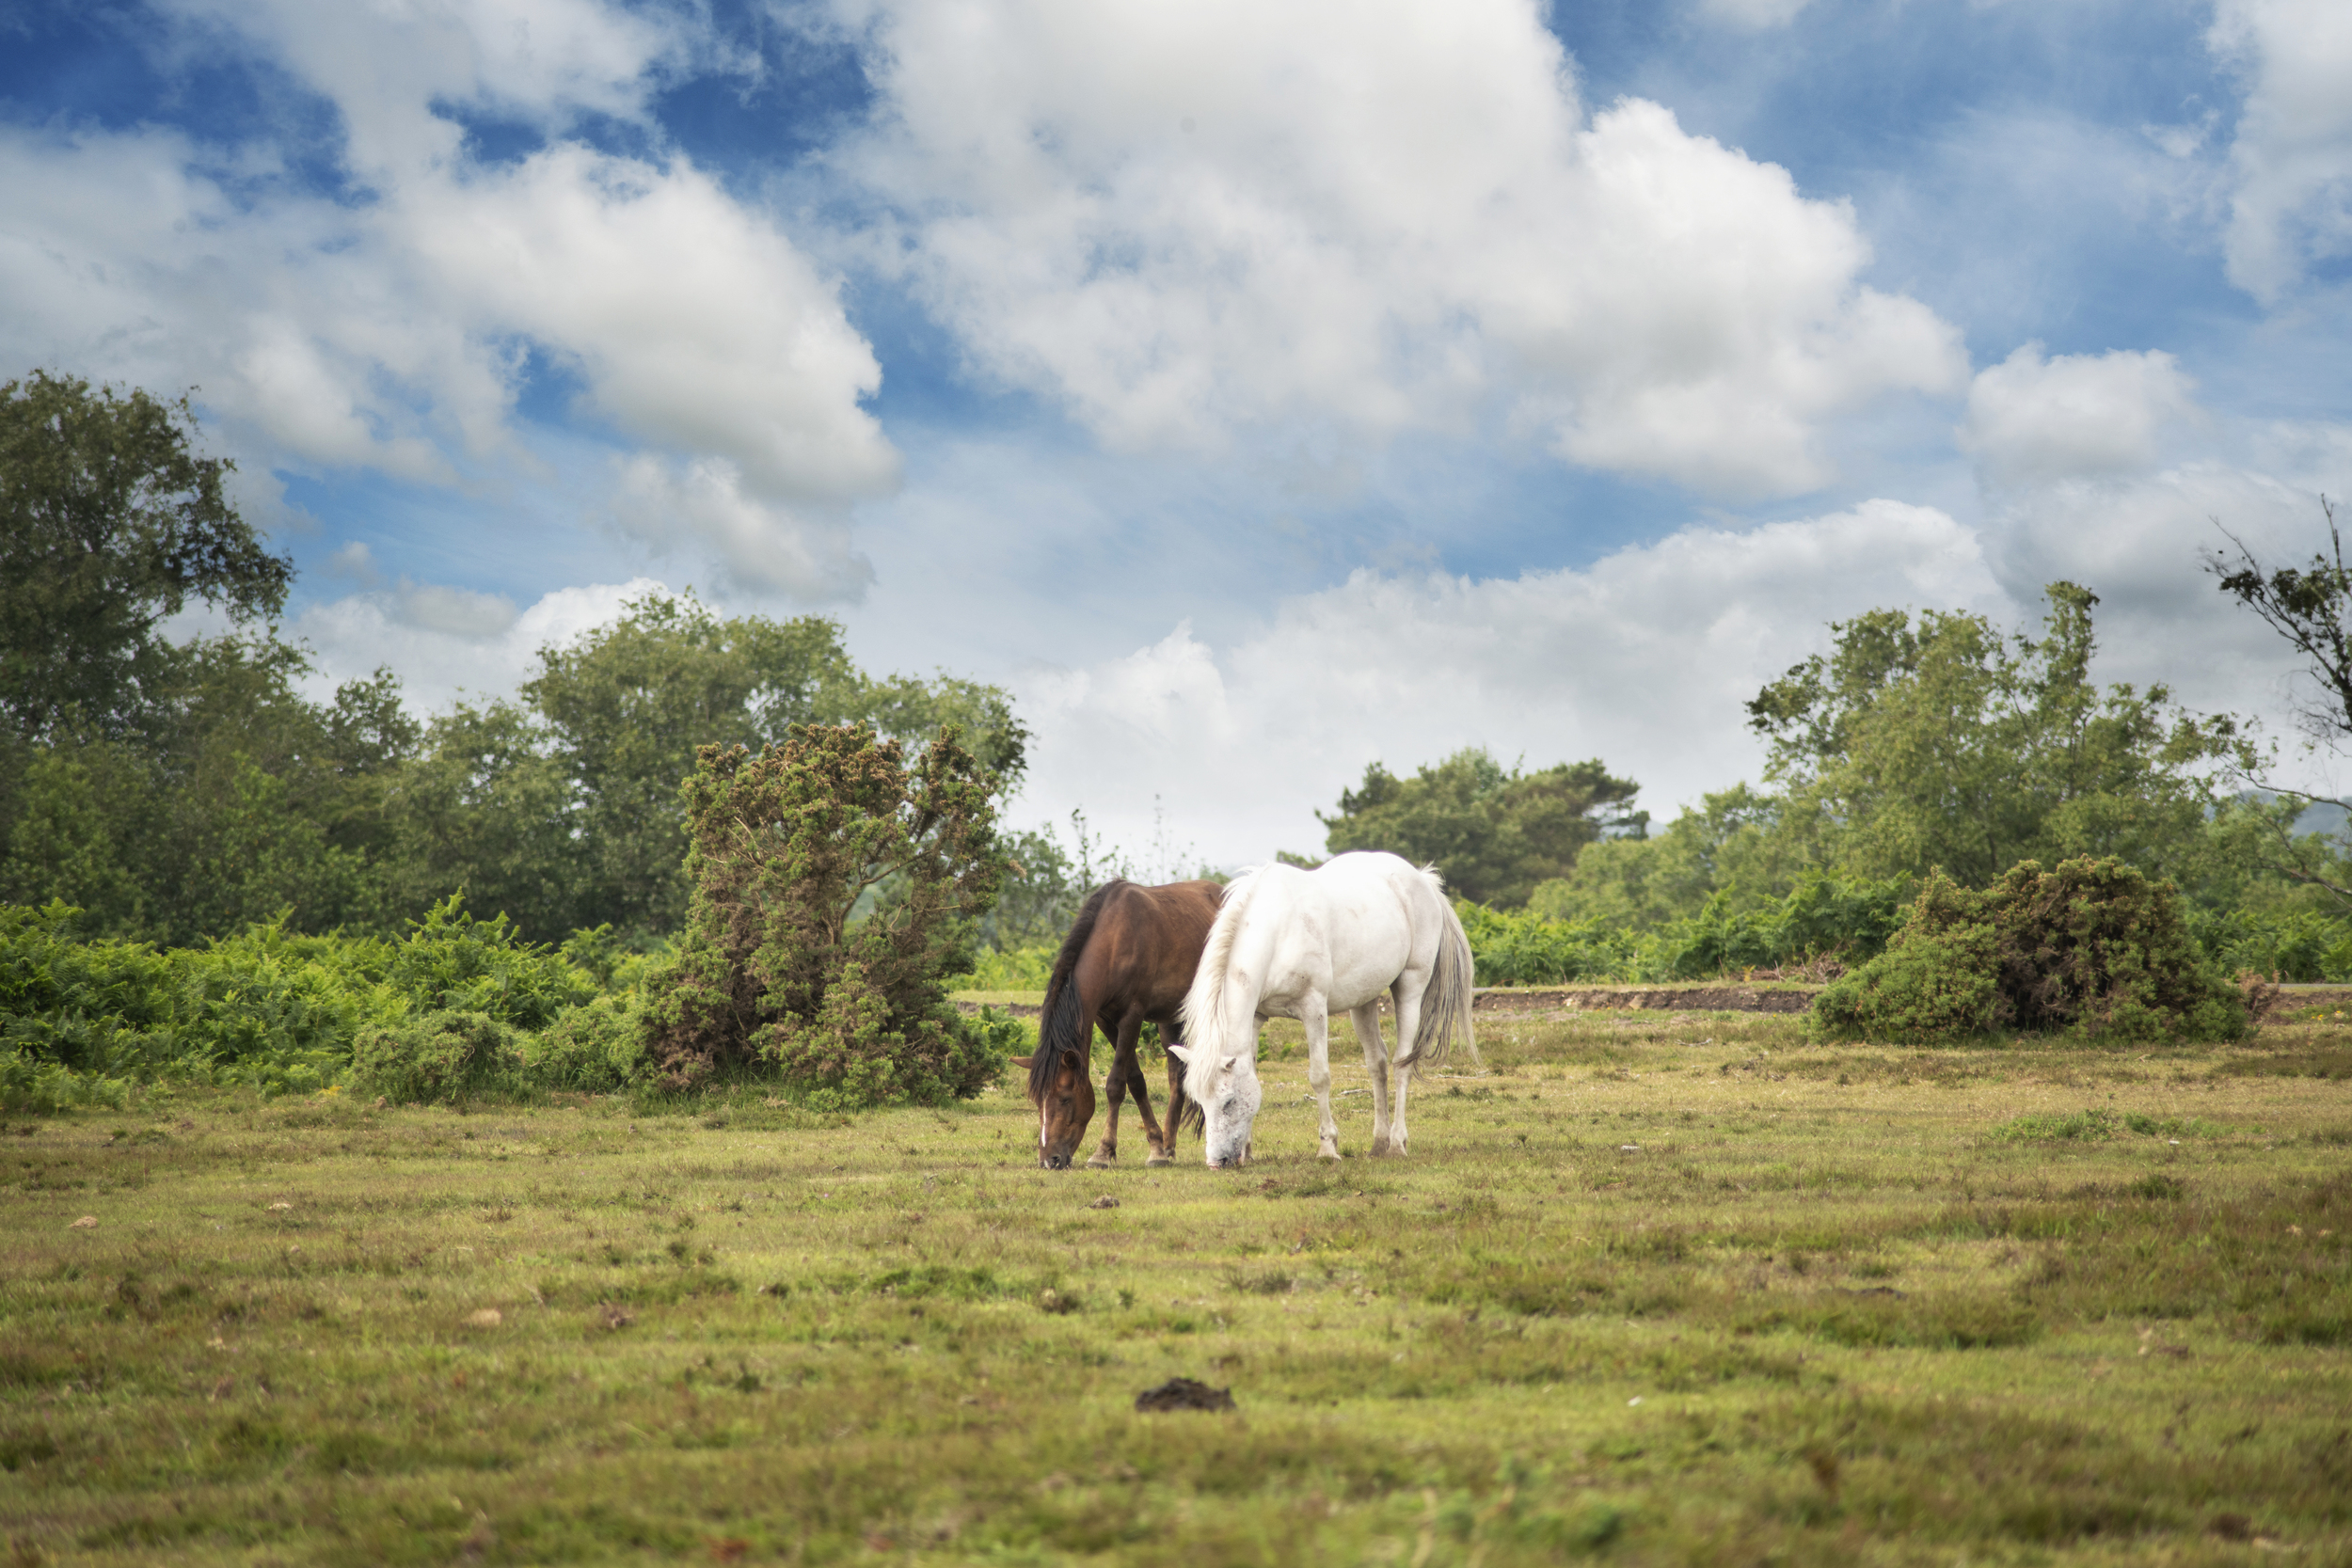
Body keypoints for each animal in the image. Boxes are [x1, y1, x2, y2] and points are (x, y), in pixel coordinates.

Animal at [1009, 878, 1224, 1169]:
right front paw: (1157, 1148)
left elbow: (1114, 1085)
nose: (1049, 1160)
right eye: (1036, 1101)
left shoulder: (1131, 1017)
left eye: (1064, 1098)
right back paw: (1169, 1147)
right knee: (1176, 1080)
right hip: (1169, 1020)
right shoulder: (1106, 1021)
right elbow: (1135, 1081)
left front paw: (1103, 1152)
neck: (1114, 941)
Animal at [1169, 851, 1476, 1168]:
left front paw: (1328, 1146)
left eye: (1228, 1101)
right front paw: (1249, 1151)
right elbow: (1253, 1071)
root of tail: (1422, 878)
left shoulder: (1313, 1009)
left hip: (1410, 987)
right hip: (1363, 1000)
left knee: (1402, 1064)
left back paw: (1396, 1143)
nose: (1216, 1162)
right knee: (1376, 1063)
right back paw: (1378, 1143)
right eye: (1200, 1102)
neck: (1279, 932)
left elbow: (1320, 1077)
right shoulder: (1255, 1017)